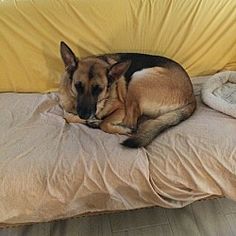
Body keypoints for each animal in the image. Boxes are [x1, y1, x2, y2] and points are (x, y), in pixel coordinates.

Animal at [58, 40, 195, 148]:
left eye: (98, 89)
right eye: (78, 86)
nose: (84, 115)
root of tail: (192, 95)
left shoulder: (121, 108)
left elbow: (104, 123)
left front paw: (96, 121)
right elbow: (67, 116)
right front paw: (87, 119)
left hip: (138, 79)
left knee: (132, 124)